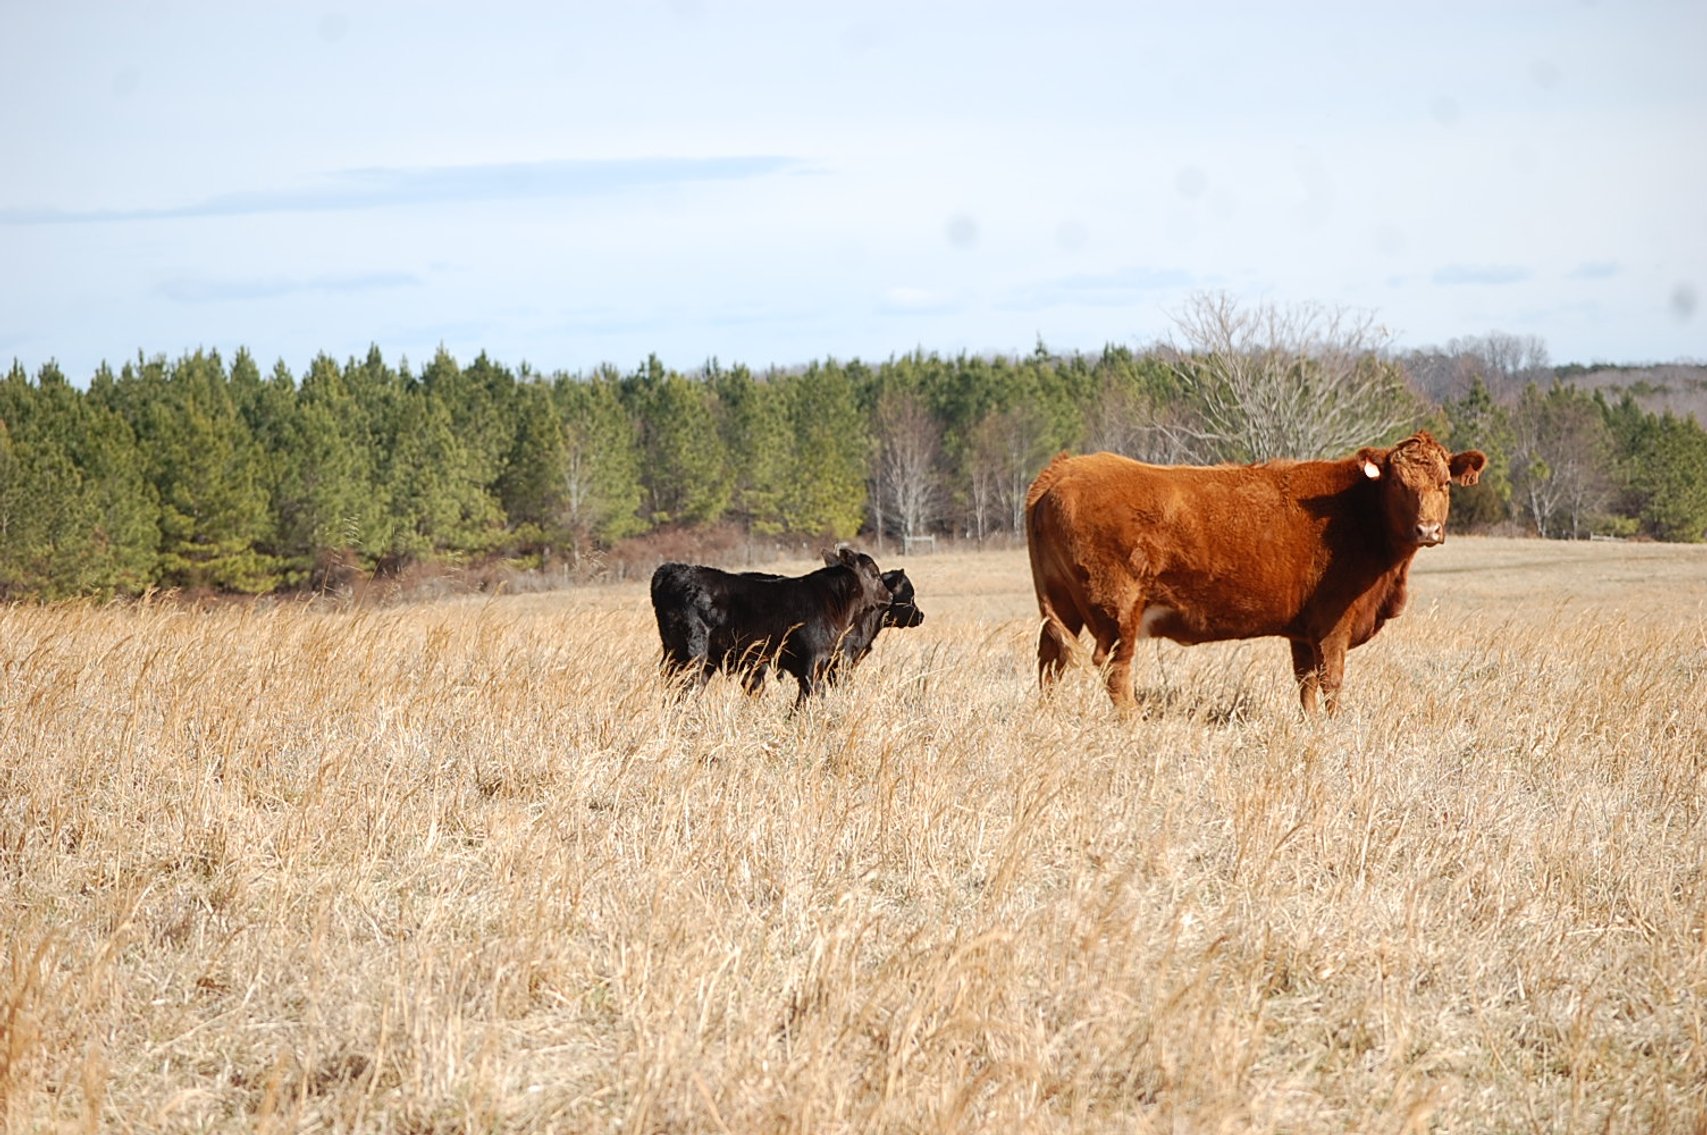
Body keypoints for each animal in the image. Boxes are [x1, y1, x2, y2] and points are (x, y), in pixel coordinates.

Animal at [650, 547, 893, 706]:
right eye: (874, 573)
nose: (889, 595)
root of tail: (674, 570)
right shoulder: (813, 660)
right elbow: (808, 697)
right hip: (692, 653)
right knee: (683, 687)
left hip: (687, 655)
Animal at [1024, 431, 1487, 713]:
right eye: (1397, 483)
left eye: (1445, 483)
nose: (1428, 530)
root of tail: (1064, 468)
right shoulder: (1334, 622)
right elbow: (1331, 680)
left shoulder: (1303, 630)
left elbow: (1306, 683)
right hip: (1117, 609)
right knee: (1114, 670)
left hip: (1062, 604)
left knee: (1051, 659)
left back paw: (1048, 716)